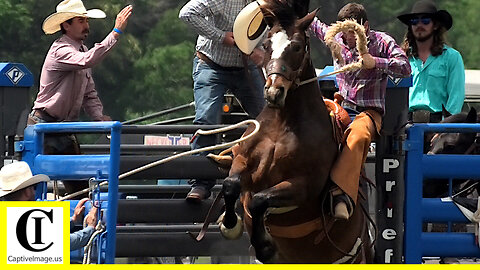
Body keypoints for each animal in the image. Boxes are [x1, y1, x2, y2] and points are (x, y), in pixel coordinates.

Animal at [218, 0, 372, 264]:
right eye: (267, 44)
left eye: (298, 46)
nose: (273, 92)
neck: (281, 127)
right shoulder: (242, 162)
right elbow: (231, 184)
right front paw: (230, 224)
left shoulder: (303, 185)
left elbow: (259, 200)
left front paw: (264, 246)